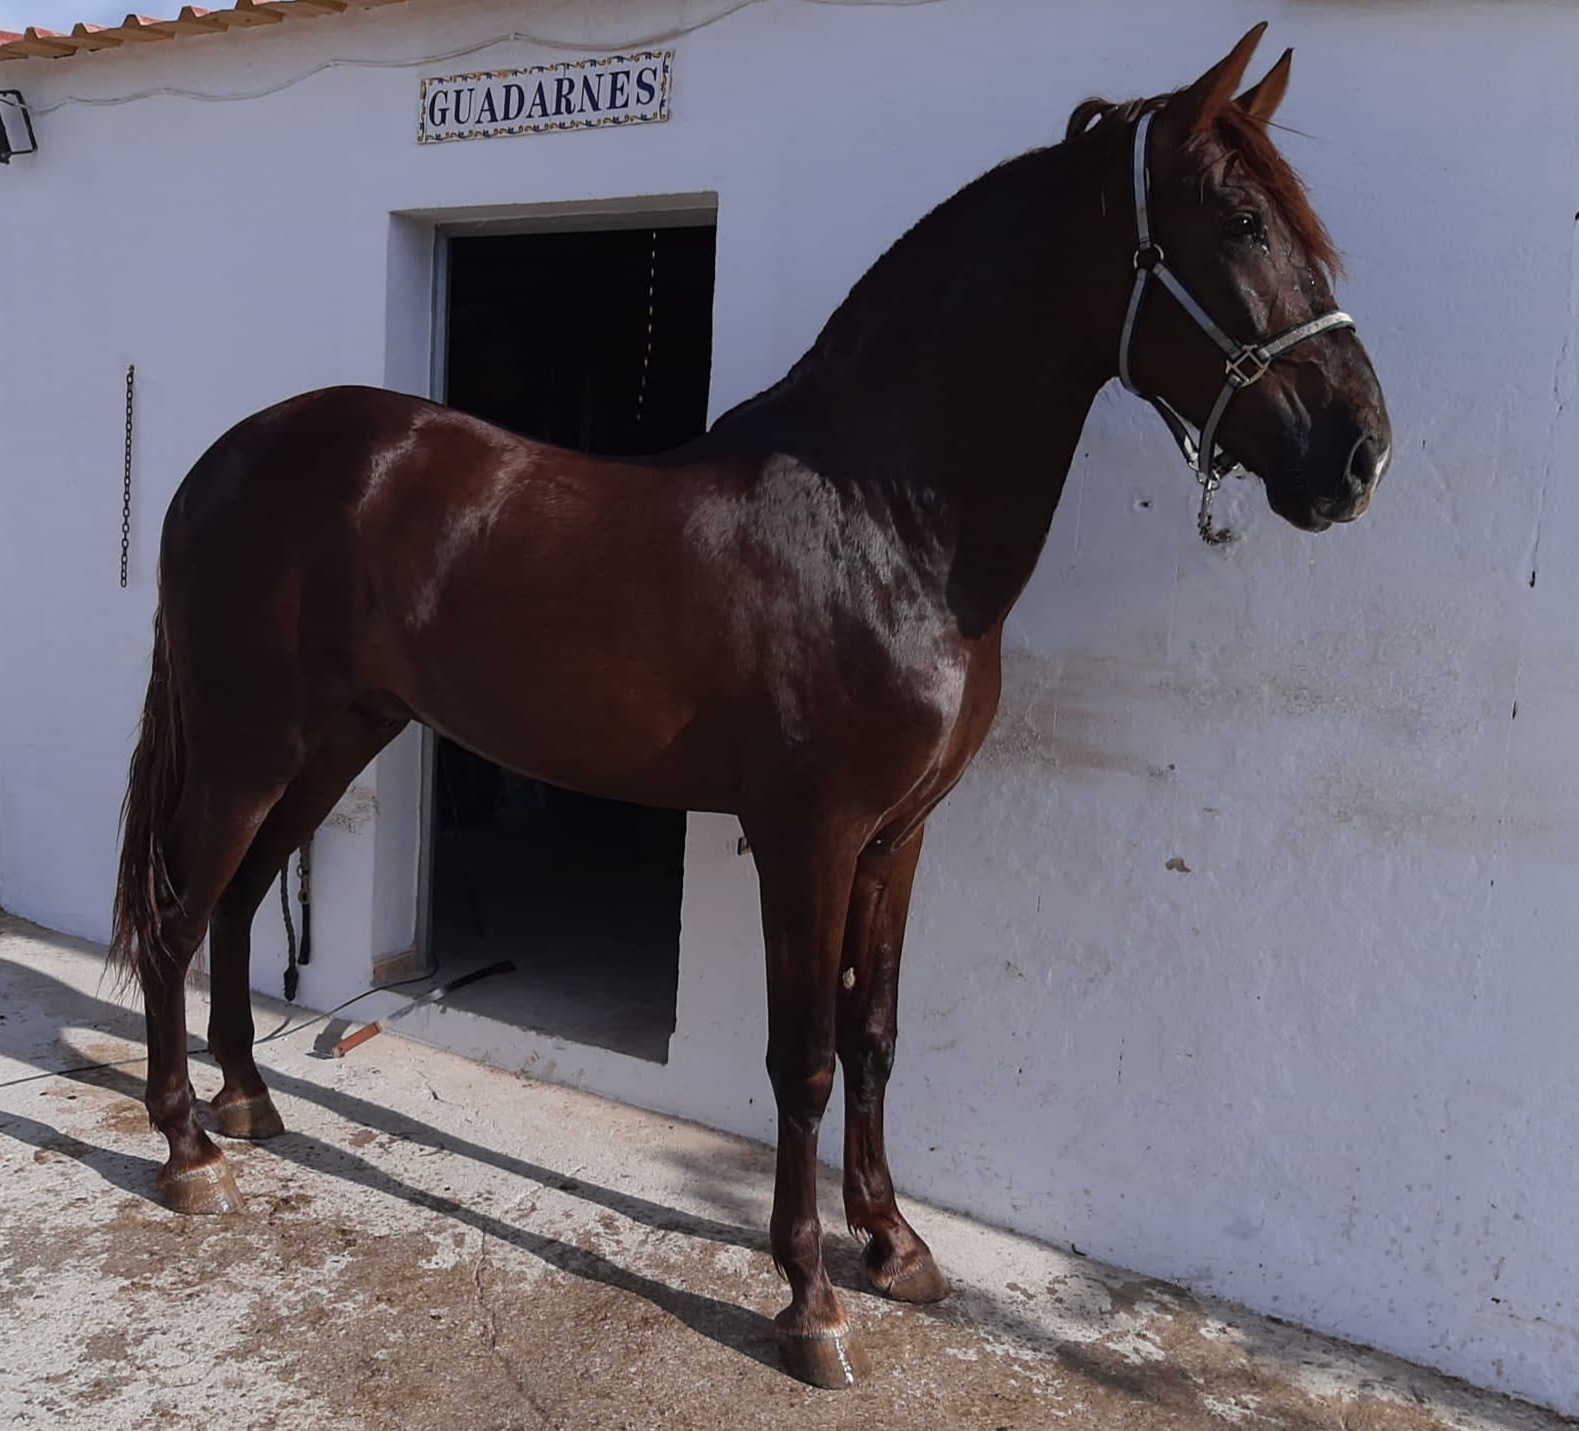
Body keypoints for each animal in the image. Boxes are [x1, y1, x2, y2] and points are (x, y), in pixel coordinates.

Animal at [109, 25, 1391, 1389]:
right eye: (1243, 222)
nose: (1360, 455)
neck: (884, 519)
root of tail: (218, 461)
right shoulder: (806, 838)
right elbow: (805, 1059)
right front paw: (811, 1301)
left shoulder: (898, 836)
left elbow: (875, 1033)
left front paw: (895, 1245)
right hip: (248, 746)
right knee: (178, 917)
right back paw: (186, 1151)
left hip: (333, 741)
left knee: (237, 903)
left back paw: (250, 1105)